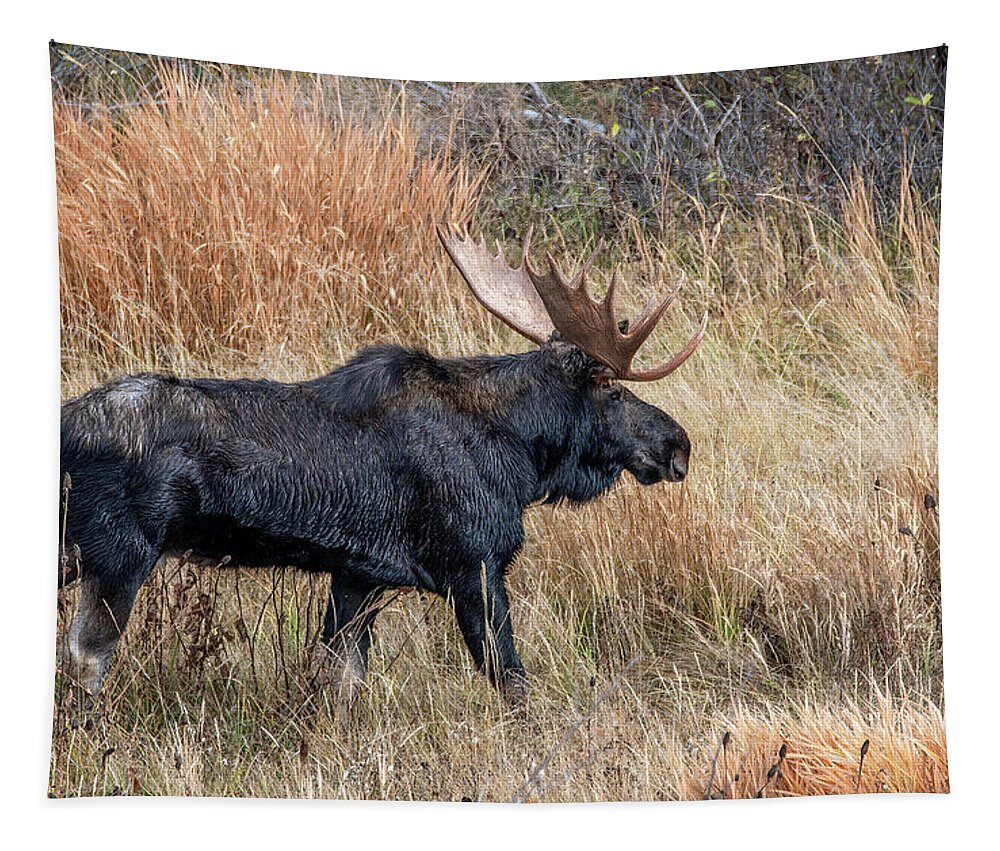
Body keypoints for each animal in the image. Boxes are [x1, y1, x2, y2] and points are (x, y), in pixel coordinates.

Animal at [58, 226, 708, 704]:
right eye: (613, 391)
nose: (678, 445)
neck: (519, 457)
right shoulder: (473, 564)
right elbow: (510, 676)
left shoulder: (359, 575)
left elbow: (343, 678)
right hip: (118, 549)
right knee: (85, 658)